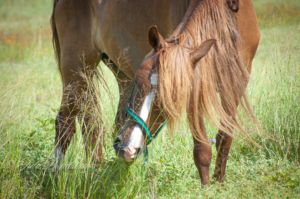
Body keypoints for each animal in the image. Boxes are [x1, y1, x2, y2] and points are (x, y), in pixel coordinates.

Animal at [50, 0, 258, 185]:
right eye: (138, 80)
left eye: (171, 97)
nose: (128, 148)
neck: (227, 16)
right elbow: (202, 148)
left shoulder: (237, 81)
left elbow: (225, 137)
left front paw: (218, 183)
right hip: (76, 72)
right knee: (64, 122)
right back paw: (57, 177)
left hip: (116, 74)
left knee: (101, 126)